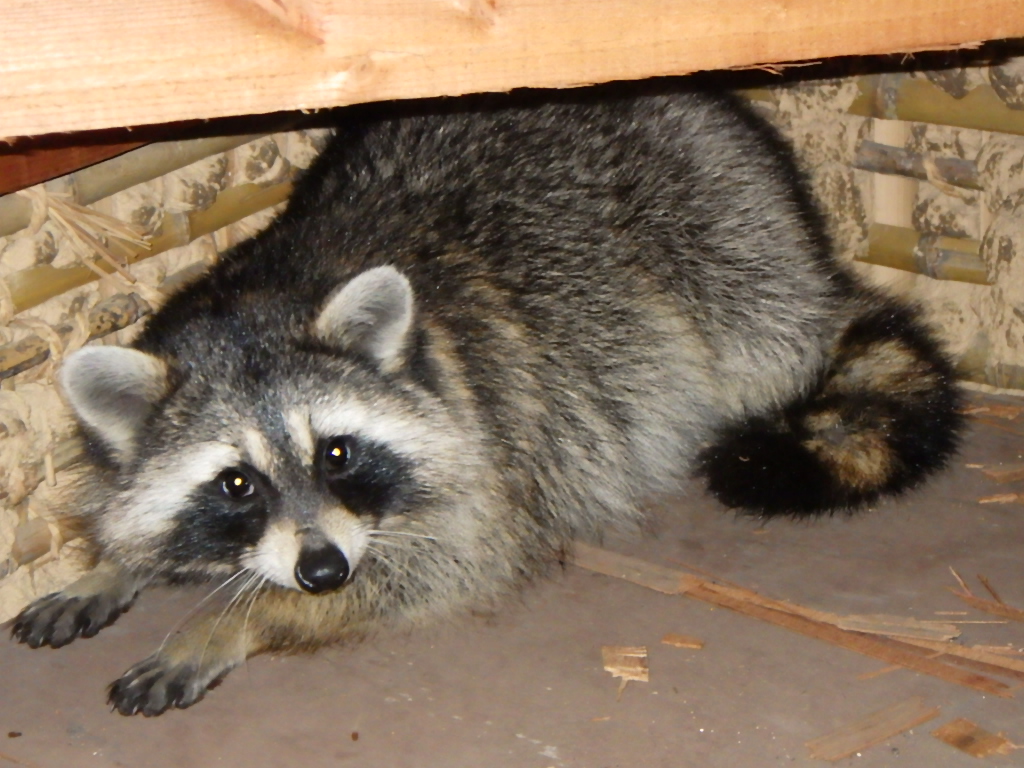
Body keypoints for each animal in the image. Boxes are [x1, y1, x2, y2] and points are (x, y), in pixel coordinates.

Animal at [12, 83, 962, 716]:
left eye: (337, 452)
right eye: (236, 483)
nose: (323, 571)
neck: (253, 298)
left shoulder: (488, 449)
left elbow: (447, 563)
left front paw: (232, 621)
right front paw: (117, 561)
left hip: (725, 239)